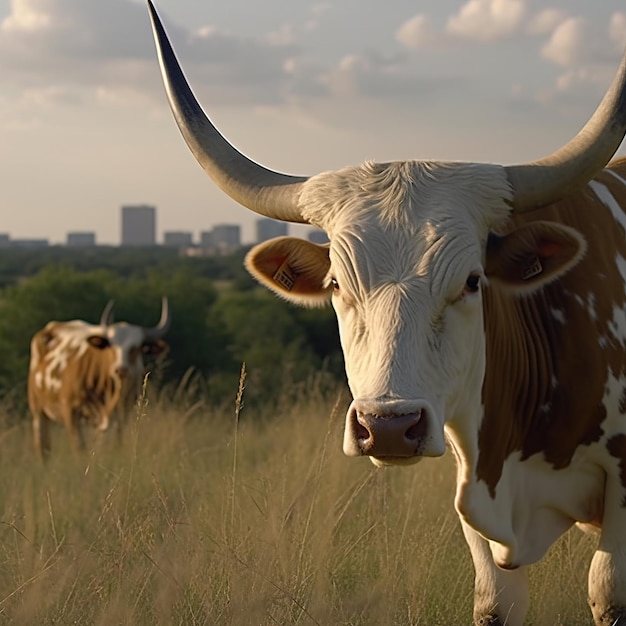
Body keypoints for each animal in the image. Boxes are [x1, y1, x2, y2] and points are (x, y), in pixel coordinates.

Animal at [28, 294, 169, 456]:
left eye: (137, 348)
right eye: (111, 345)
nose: (121, 370)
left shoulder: (121, 415)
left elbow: (113, 444)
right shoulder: (71, 412)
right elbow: (80, 448)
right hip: (38, 411)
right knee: (43, 447)